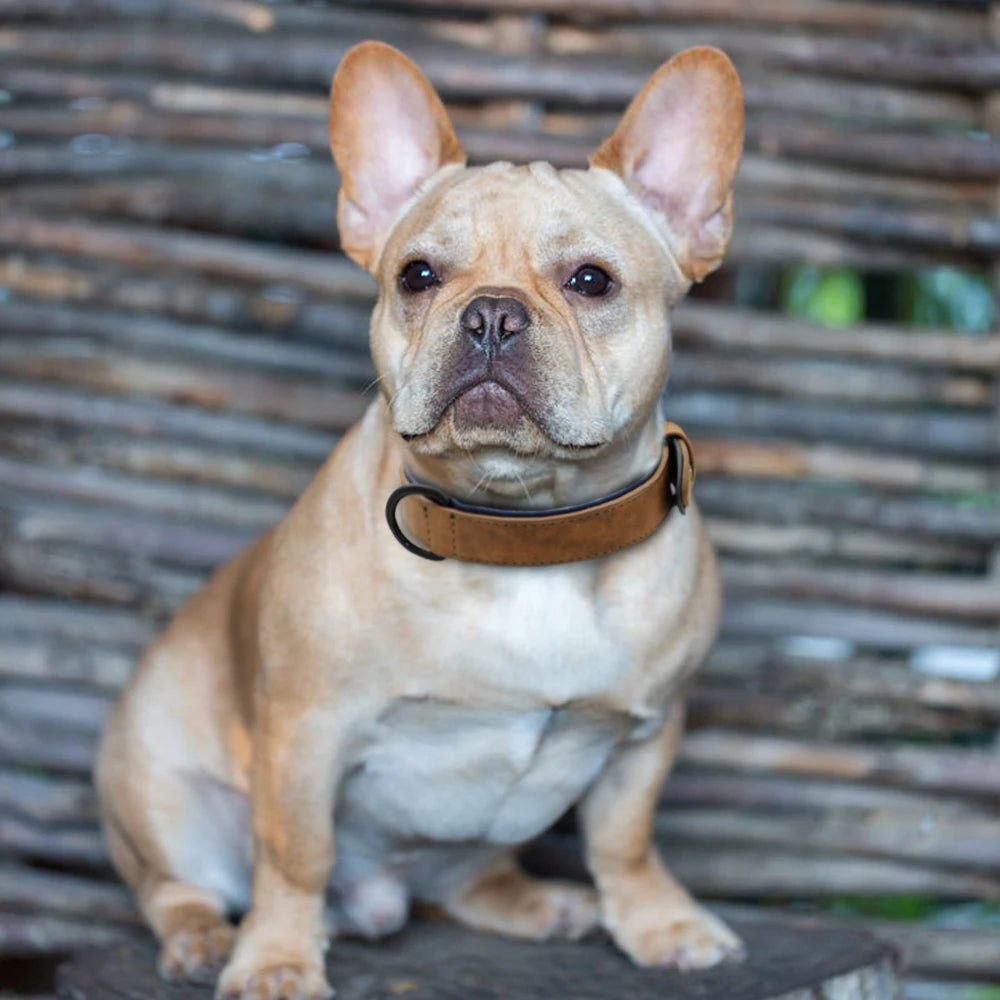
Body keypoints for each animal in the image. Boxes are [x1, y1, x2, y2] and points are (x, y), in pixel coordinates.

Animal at [97, 41, 748, 1000]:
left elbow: (625, 840)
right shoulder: (306, 732)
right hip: (161, 794)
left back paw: (535, 902)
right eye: (419, 276)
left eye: (591, 281)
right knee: (177, 886)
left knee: (469, 879)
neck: (520, 530)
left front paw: (662, 922)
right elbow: (293, 855)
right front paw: (277, 961)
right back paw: (205, 940)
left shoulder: (649, 732)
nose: (491, 312)